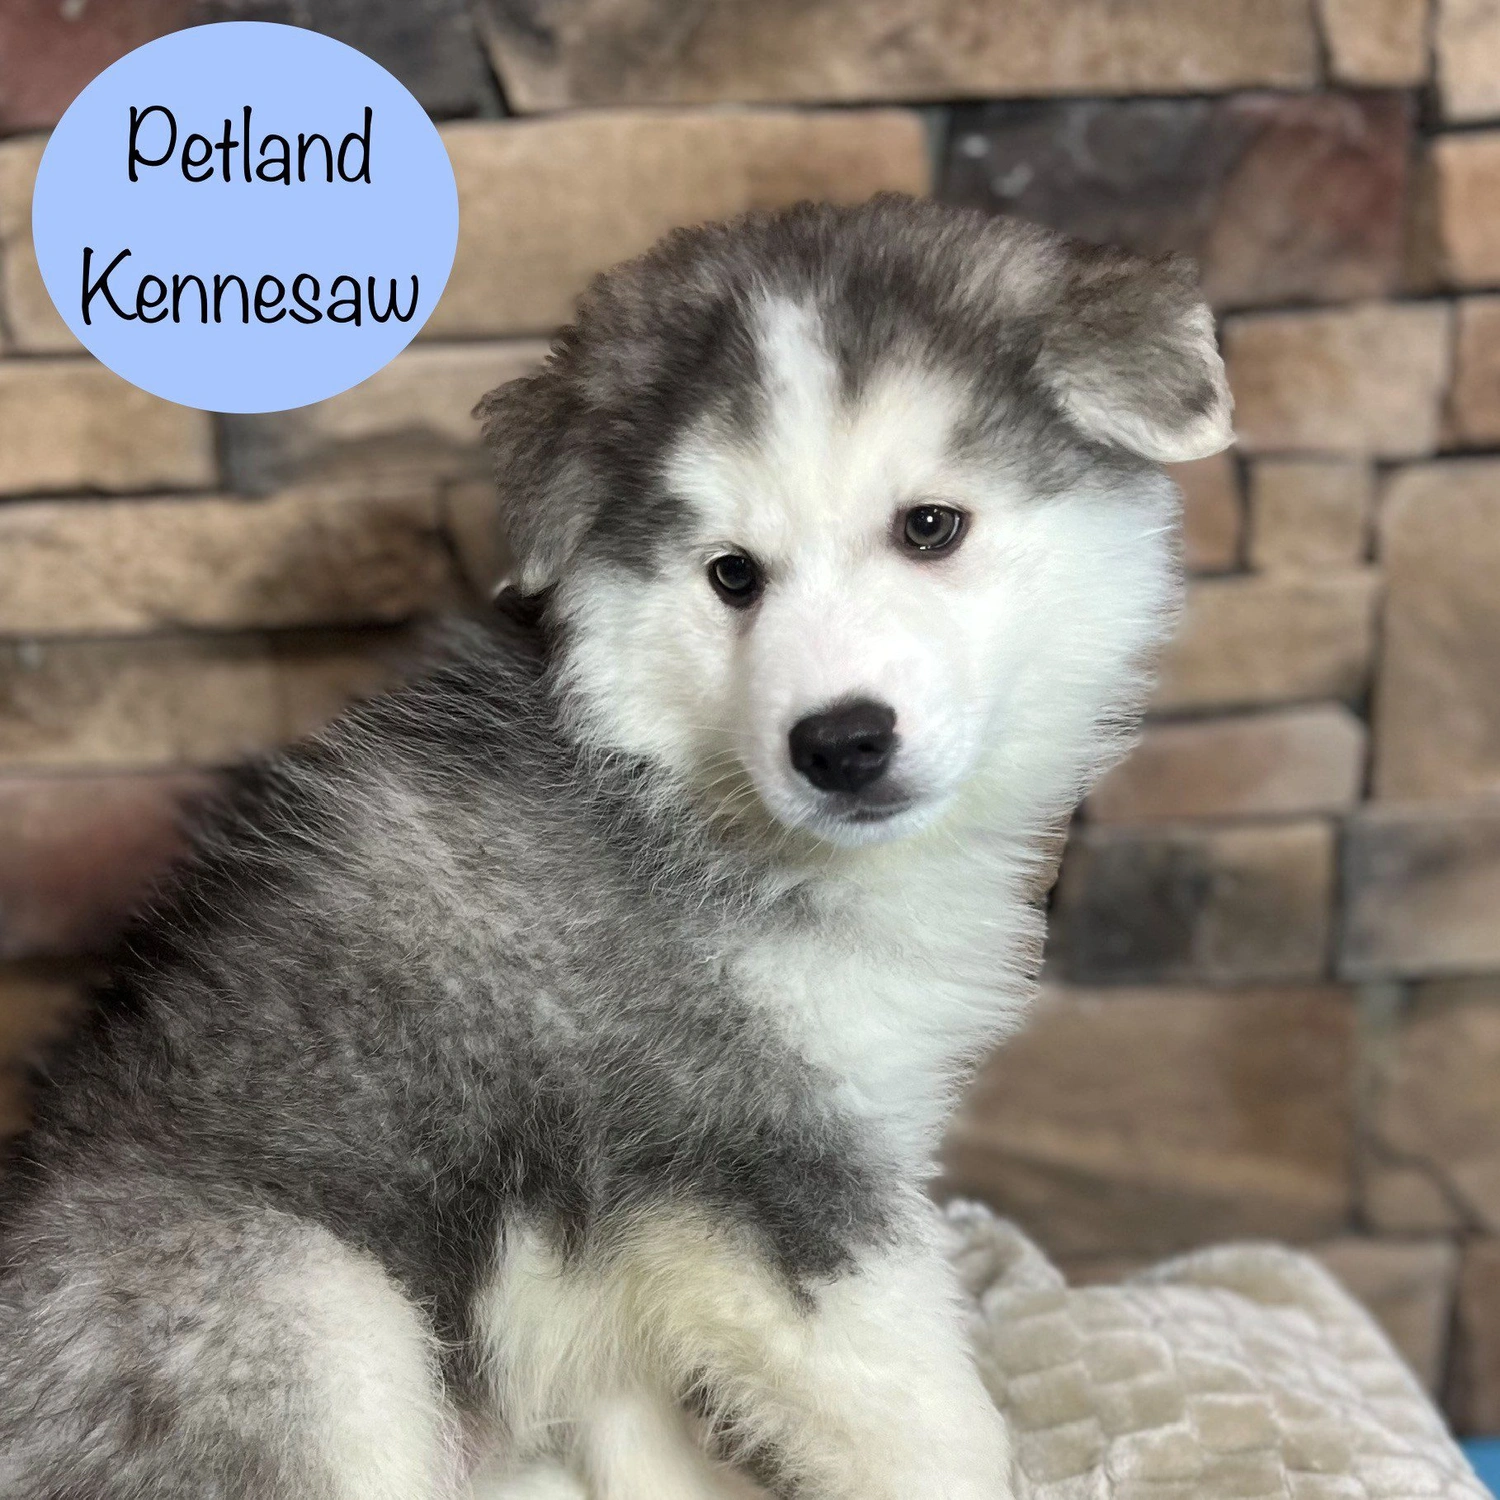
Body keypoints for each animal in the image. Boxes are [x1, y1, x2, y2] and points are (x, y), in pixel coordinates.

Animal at [0, 195, 1231, 1499]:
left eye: (930, 526)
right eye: (731, 575)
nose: (839, 742)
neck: (672, 791)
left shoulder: (663, 1219)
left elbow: (640, 1417)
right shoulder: (759, 1166)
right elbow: (927, 1421)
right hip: (300, 1304)